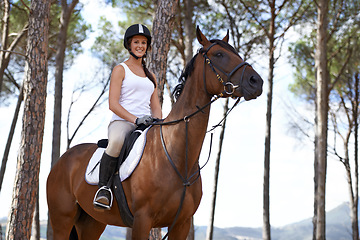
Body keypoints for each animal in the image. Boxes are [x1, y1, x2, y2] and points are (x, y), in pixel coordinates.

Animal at [46, 27, 262, 239]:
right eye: (219, 54)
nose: (256, 82)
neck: (178, 157)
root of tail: (63, 159)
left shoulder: (181, 224)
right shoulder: (143, 220)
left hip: (93, 222)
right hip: (62, 220)